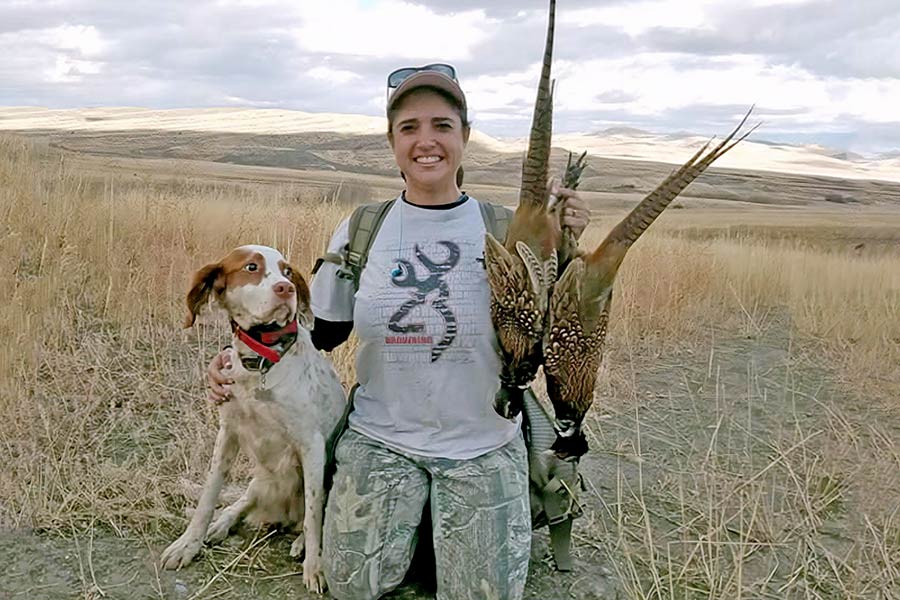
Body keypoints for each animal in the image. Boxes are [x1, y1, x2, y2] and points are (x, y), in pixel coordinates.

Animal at [160, 246, 346, 592]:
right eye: (251, 267)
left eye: (287, 272)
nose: (286, 289)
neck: (261, 362)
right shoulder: (228, 433)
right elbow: (208, 496)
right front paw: (188, 544)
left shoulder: (312, 446)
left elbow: (314, 516)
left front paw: (315, 566)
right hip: (261, 480)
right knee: (242, 501)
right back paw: (220, 524)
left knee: (308, 516)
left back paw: (300, 543)